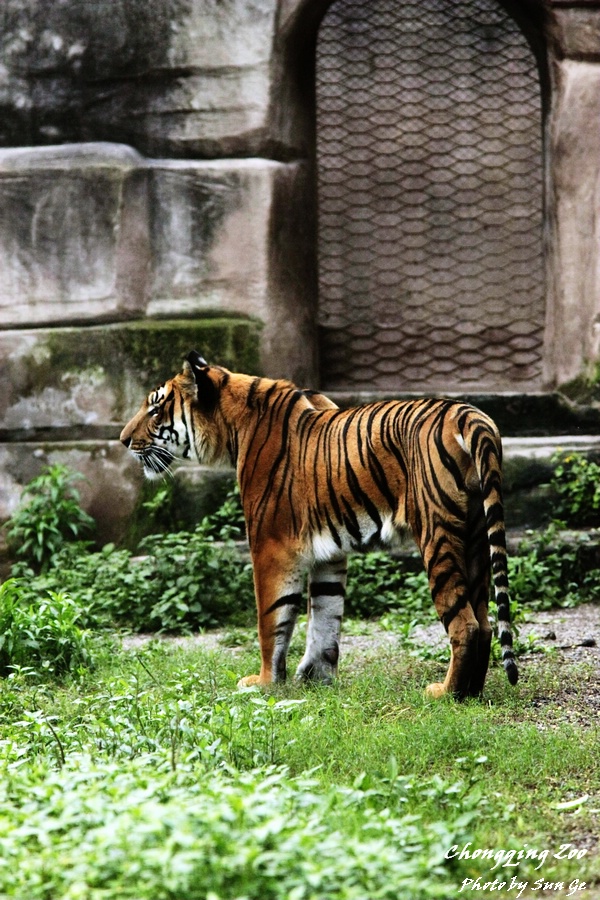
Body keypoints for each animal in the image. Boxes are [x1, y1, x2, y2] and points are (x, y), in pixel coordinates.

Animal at [120, 350, 518, 699]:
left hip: (438, 533)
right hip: (476, 536)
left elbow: (271, 620)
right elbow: (325, 616)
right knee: (485, 623)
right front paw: (315, 678)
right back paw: (472, 693)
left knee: (465, 624)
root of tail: (469, 414)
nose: (123, 440)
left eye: (155, 409)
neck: (233, 426)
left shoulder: (270, 545)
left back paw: (446, 694)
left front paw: (265, 682)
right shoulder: (330, 551)